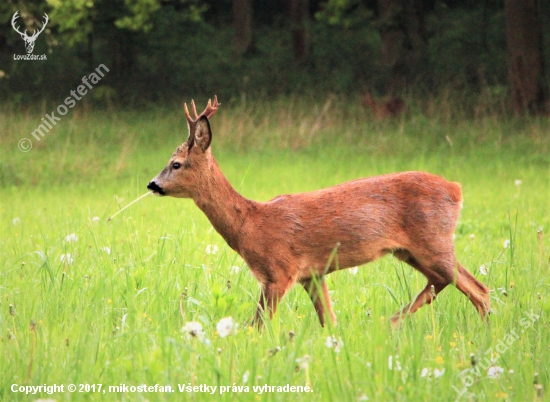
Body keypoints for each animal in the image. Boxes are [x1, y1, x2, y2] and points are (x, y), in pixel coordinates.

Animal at [148, 97, 492, 326]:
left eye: (176, 164)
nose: (152, 184)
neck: (249, 224)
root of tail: (456, 189)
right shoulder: (312, 274)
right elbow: (328, 321)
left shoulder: (278, 271)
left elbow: (258, 326)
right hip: (409, 251)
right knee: (442, 282)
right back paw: (392, 323)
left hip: (434, 240)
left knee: (478, 288)